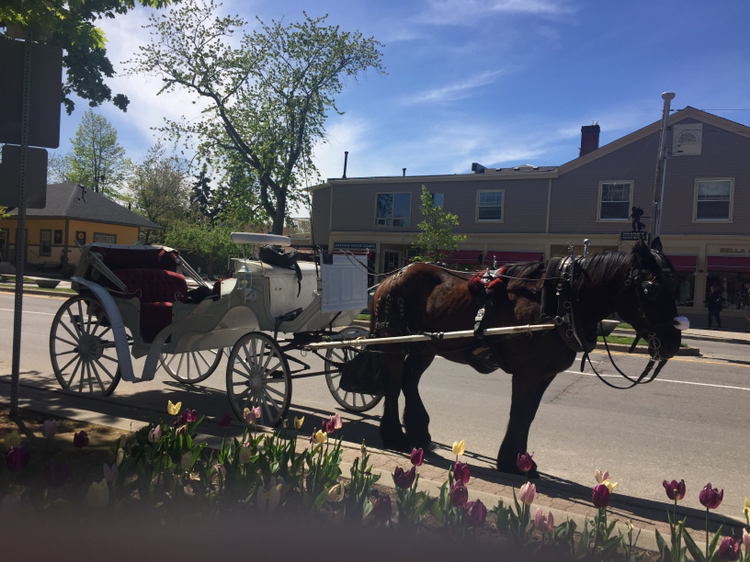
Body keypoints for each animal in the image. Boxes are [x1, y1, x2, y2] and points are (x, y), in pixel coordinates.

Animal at [363, 239, 687, 477]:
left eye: (676, 287)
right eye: (650, 289)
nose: (673, 343)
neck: (559, 300)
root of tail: (390, 278)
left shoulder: (545, 374)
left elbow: (529, 415)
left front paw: (523, 460)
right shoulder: (527, 372)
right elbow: (518, 413)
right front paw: (510, 462)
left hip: (425, 345)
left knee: (409, 381)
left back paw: (418, 431)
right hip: (394, 340)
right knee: (394, 384)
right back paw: (394, 436)